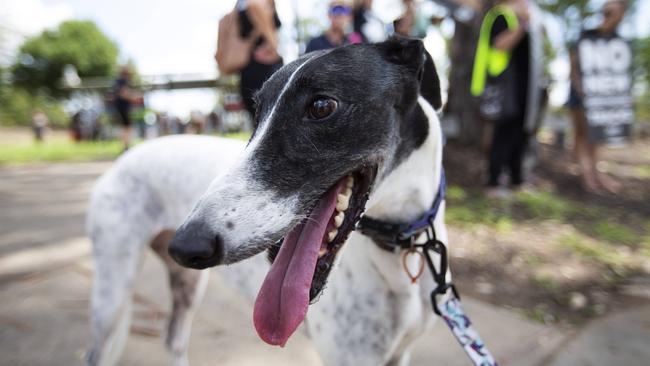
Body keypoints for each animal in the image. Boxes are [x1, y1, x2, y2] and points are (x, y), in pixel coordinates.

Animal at [86, 38, 446, 366]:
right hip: (112, 295)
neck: (400, 243)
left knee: (173, 337)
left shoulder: (398, 354)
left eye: (322, 106)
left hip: (186, 281)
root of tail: (121, 160)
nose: (186, 244)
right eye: (257, 113)